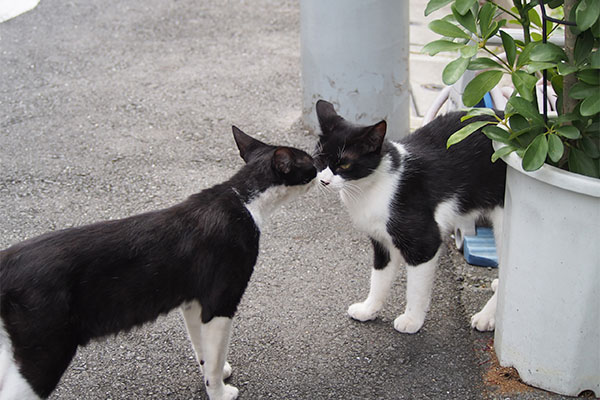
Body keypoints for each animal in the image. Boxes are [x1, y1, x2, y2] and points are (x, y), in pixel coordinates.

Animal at [0, 126, 316, 400]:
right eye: (310, 161)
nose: (320, 164)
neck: (243, 199)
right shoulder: (220, 302)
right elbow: (213, 359)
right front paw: (219, 393)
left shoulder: (193, 302)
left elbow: (203, 351)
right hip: (45, 353)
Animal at [314, 100, 506, 334]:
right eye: (320, 158)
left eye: (344, 164)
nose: (324, 181)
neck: (369, 189)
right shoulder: (382, 242)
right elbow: (379, 278)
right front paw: (369, 309)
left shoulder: (423, 242)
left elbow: (416, 288)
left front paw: (412, 320)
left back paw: (487, 316)